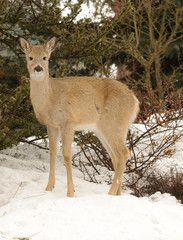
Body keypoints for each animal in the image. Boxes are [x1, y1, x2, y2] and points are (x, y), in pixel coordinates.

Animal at [18, 36, 139, 196]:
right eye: (30, 57)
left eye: (45, 57)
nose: (38, 68)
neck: (50, 98)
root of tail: (135, 101)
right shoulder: (51, 124)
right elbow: (52, 152)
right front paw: (48, 188)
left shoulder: (69, 121)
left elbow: (66, 154)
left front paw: (70, 192)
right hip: (108, 129)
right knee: (116, 157)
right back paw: (117, 194)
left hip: (112, 124)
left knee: (123, 153)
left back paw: (110, 192)